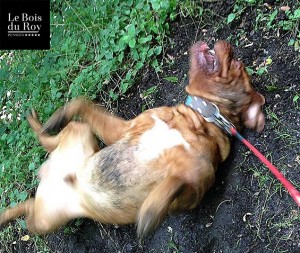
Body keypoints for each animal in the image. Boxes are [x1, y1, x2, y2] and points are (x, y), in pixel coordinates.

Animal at [0, 40, 264, 237]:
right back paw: (40, 122)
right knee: (50, 140)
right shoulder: (123, 129)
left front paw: (149, 211)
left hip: (46, 219)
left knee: (29, 208)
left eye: (237, 63)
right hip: (80, 135)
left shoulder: (195, 187)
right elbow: (81, 101)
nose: (228, 45)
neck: (198, 120)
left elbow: (172, 185)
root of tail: (49, 175)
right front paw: (59, 114)